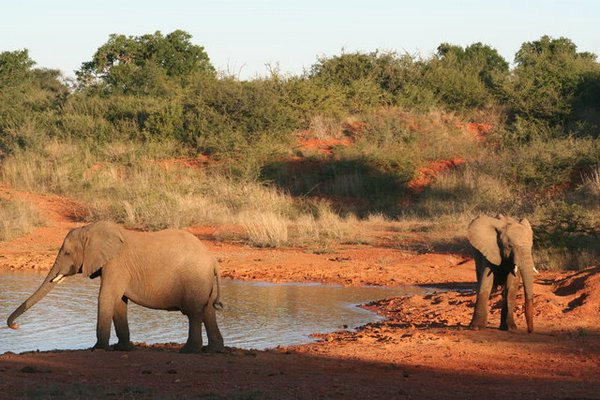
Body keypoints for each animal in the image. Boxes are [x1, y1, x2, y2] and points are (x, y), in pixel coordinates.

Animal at [8, 222, 224, 354]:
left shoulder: (116, 264)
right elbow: (119, 302)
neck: (91, 230)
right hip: (204, 281)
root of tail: (213, 261)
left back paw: (188, 351)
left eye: (67, 253)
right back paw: (213, 351)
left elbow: (106, 297)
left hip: (194, 278)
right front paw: (123, 348)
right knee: (207, 312)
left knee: (194, 313)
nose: (15, 326)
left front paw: (98, 348)